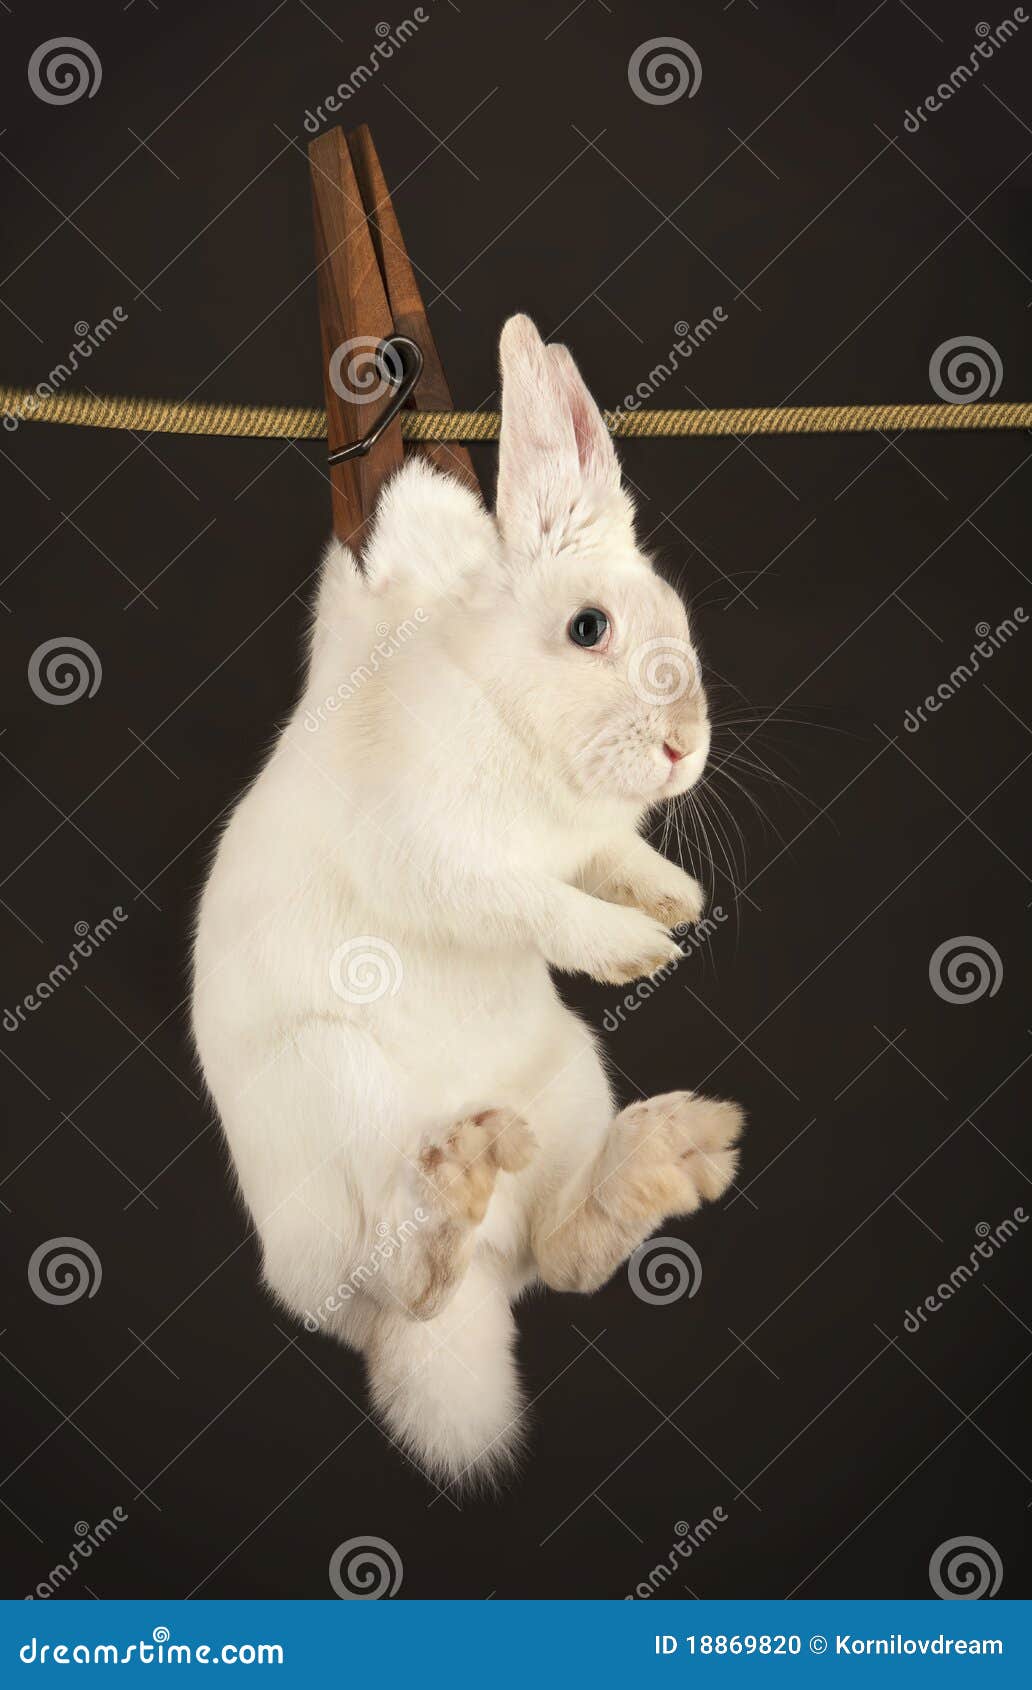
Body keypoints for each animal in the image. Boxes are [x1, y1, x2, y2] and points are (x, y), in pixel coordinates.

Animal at [191, 317, 743, 1493]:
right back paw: (450, 1191)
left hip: (570, 1080)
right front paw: (637, 949)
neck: (508, 712)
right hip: (334, 1098)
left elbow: (605, 858)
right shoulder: (441, 860)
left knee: (560, 1253)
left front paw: (673, 898)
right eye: (589, 628)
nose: (686, 751)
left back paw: (658, 1161)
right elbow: (527, 903)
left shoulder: (584, 840)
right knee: (400, 1281)